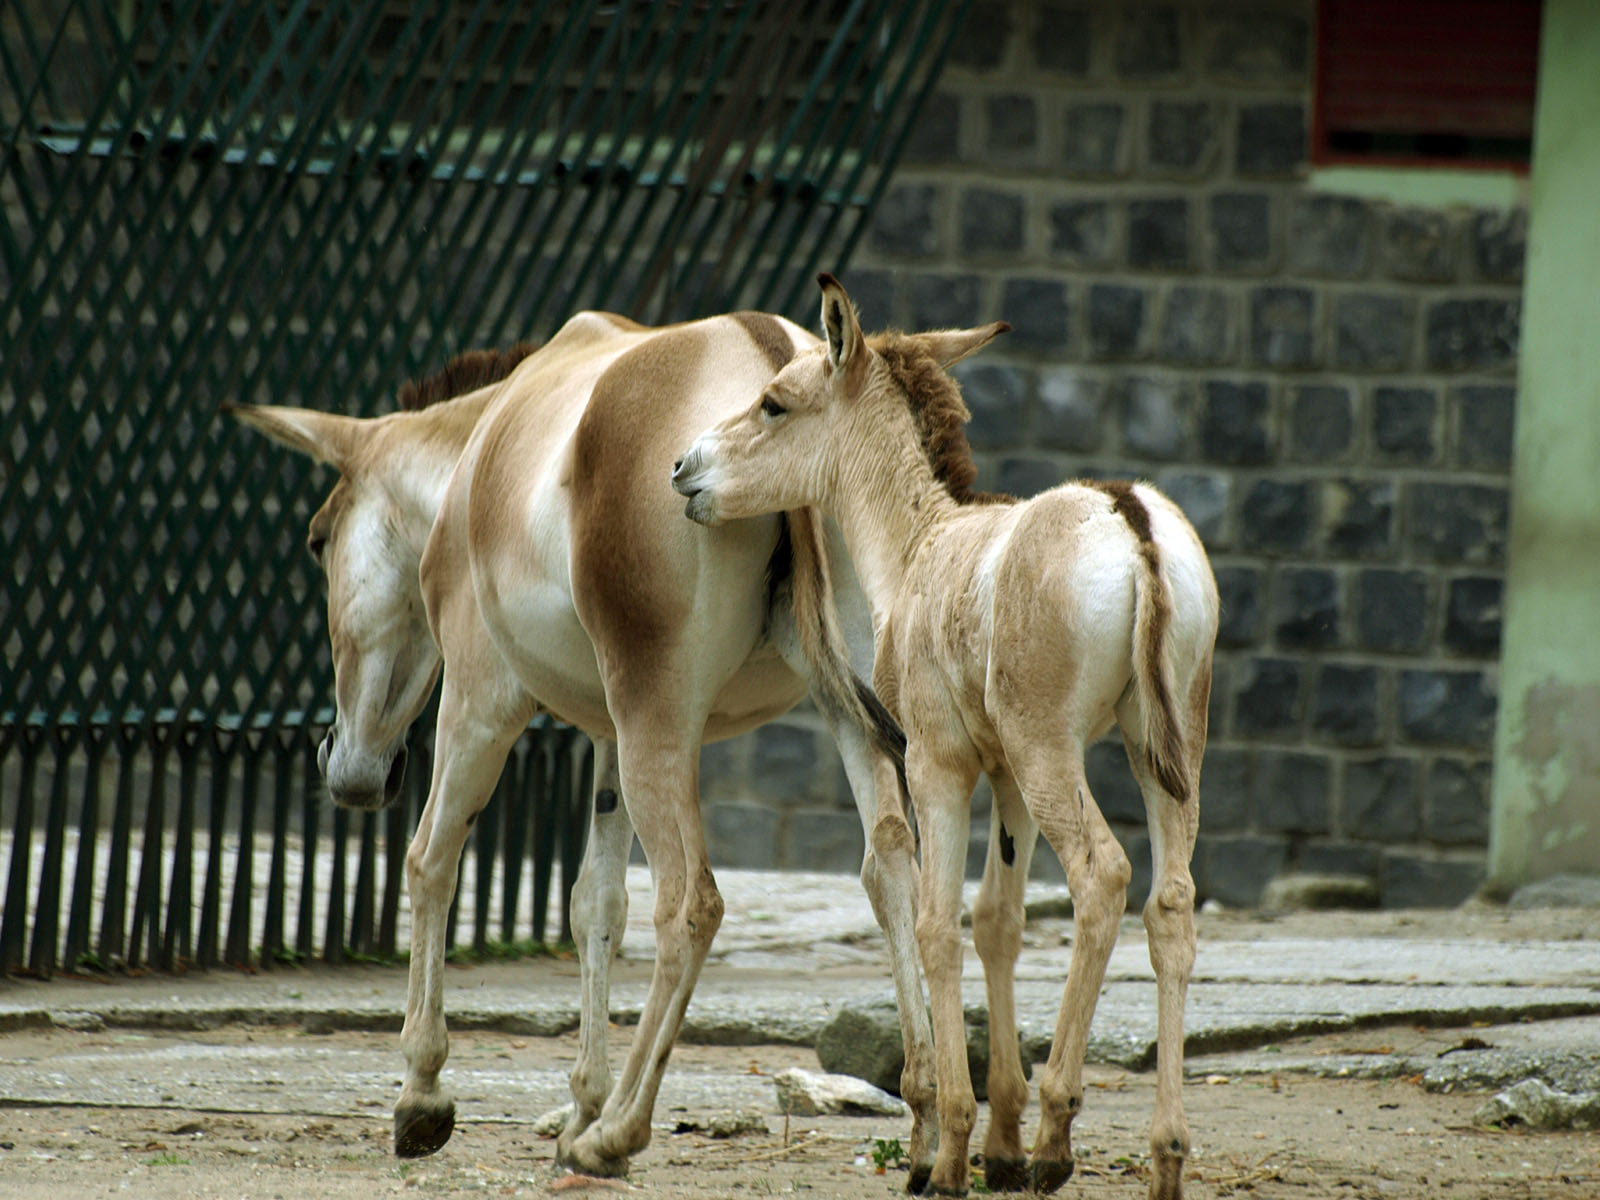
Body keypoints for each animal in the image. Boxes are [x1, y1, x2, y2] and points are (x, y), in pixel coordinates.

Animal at [228, 307, 942, 1181]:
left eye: (317, 540)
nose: (351, 770)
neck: (481, 456)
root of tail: (769, 347)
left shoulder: (480, 696)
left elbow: (431, 860)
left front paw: (425, 1096)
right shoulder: (606, 735)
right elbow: (595, 902)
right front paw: (580, 1105)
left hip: (658, 722)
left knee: (693, 901)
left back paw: (621, 1133)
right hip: (841, 708)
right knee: (891, 867)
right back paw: (928, 1127)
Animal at [672, 275, 1220, 1199]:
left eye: (775, 402)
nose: (683, 469)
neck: (920, 545)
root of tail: (1128, 517)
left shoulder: (940, 765)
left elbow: (936, 924)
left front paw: (956, 1153)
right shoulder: (1003, 781)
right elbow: (997, 921)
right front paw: (999, 1139)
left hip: (1053, 753)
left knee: (1104, 877)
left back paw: (1058, 1136)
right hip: (1162, 750)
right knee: (1169, 904)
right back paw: (1166, 1153)